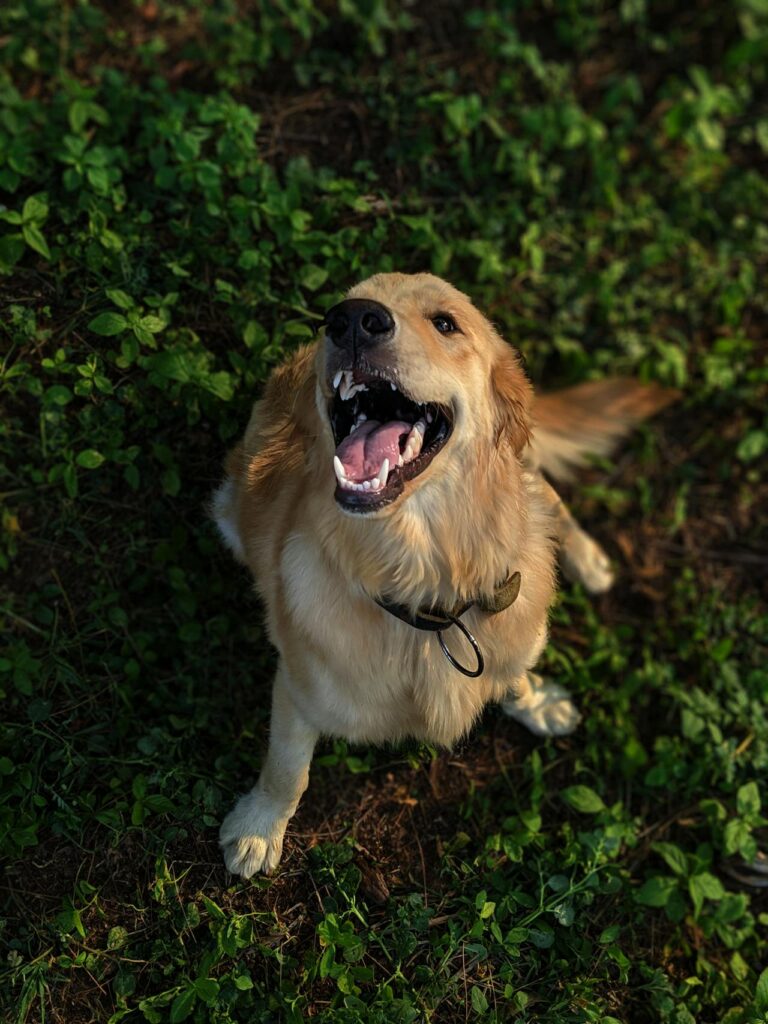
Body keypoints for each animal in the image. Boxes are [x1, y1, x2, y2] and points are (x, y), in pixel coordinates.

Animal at [214, 272, 675, 880]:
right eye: (339, 311)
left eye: (446, 323)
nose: (352, 320)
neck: (429, 590)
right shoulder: (298, 684)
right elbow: (288, 770)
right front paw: (260, 827)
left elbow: (514, 673)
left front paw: (536, 701)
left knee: (551, 497)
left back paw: (589, 559)